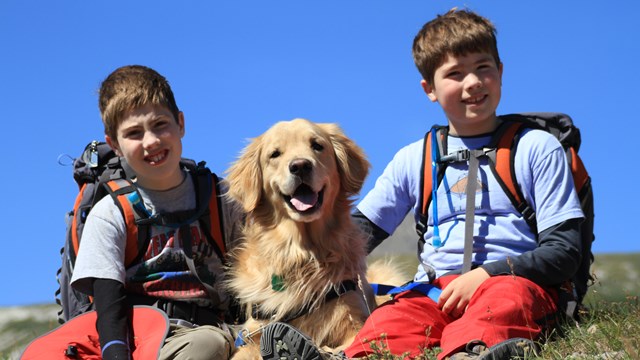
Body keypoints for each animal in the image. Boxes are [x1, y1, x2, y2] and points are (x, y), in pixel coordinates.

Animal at [228, 119, 402, 360]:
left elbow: (353, 343)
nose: (300, 165)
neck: (302, 253)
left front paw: (320, 350)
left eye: (317, 145)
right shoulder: (252, 333)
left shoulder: (354, 318)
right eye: (275, 154)